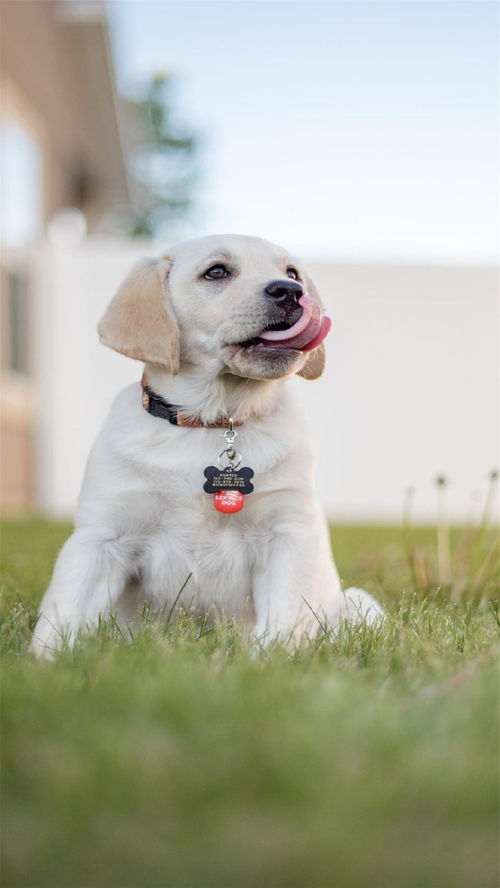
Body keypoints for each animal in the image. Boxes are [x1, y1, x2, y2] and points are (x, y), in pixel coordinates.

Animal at [30, 232, 382, 656]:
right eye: (216, 272)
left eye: (292, 272)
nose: (291, 292)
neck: (213, 421)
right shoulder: (102, 537)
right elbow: (64, 612)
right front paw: (45, 662)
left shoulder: (288, 533)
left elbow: (282, 619)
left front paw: (267, 661)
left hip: (360, 603)